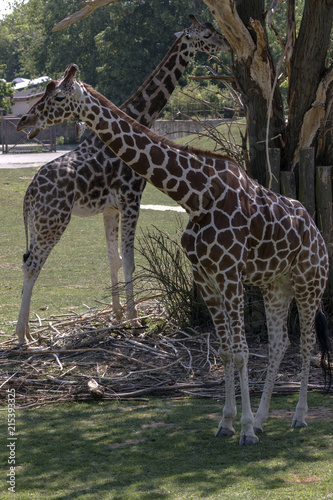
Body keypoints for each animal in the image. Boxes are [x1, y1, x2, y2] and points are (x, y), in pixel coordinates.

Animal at [14, 14, 228, 344]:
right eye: (206, 34)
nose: (226, 43)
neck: (141, 117)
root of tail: (28, 196)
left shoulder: (110, 209)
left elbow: (112, 258)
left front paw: (116, 315)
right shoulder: (131, 199)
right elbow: (128, 259)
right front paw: (133, 319)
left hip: (39, 222)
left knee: (27, 261)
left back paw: (25, 330)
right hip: (54, 221)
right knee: (34, 264)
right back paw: (23, 337)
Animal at [17, 65, 330, 446]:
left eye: (59, 96)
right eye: (44, 92)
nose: (24, 120)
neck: (195, 195)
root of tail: (315, 229)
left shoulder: (230, 275)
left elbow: (241, 352)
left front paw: (243, 430)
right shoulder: (206, 276)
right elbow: (226, 350)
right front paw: (228, 422)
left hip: (309, 281)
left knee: (307, 343)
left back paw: (297, 416)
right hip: (275, 285)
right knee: (279, 344)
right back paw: (262, 418)